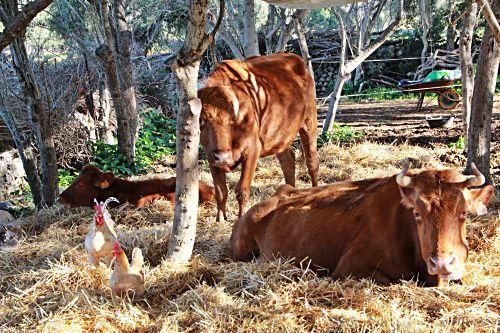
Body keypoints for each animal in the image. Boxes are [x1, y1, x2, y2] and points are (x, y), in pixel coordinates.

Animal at [197, 52, 318, 220]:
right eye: (202, 120)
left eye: (232, 118)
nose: (222, 157)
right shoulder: (211, 157)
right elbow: (221, 191)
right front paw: (220, 218)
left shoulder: (252, 150)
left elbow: (242, 190)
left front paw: (241, 217)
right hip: (279, 137)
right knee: (288, 160)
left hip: (309, 123)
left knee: (312, 163)